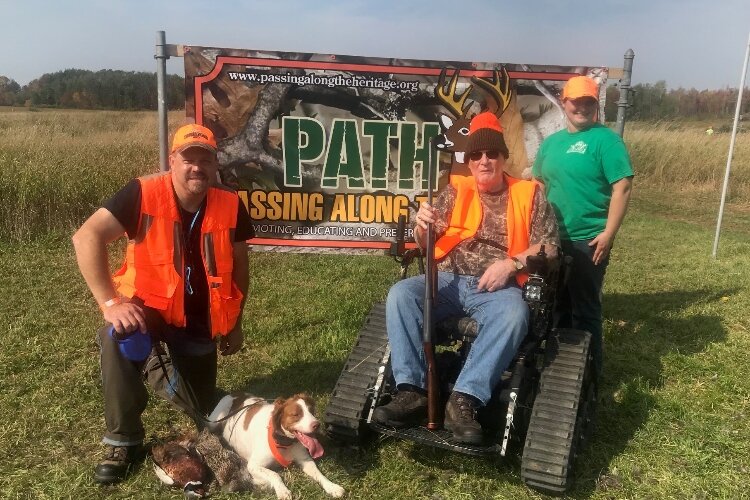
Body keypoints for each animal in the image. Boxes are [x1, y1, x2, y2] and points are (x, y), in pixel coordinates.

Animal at [207, 392, 346, 498]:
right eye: (296, 415)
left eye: (312, 411)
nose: (317, 425)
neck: (285, 442)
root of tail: (236, 395)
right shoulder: (253, 465)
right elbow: (275, 474)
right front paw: (282, 491)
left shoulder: (306, 460)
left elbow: (318, 473)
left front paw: (332, 487)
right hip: (214, 421)